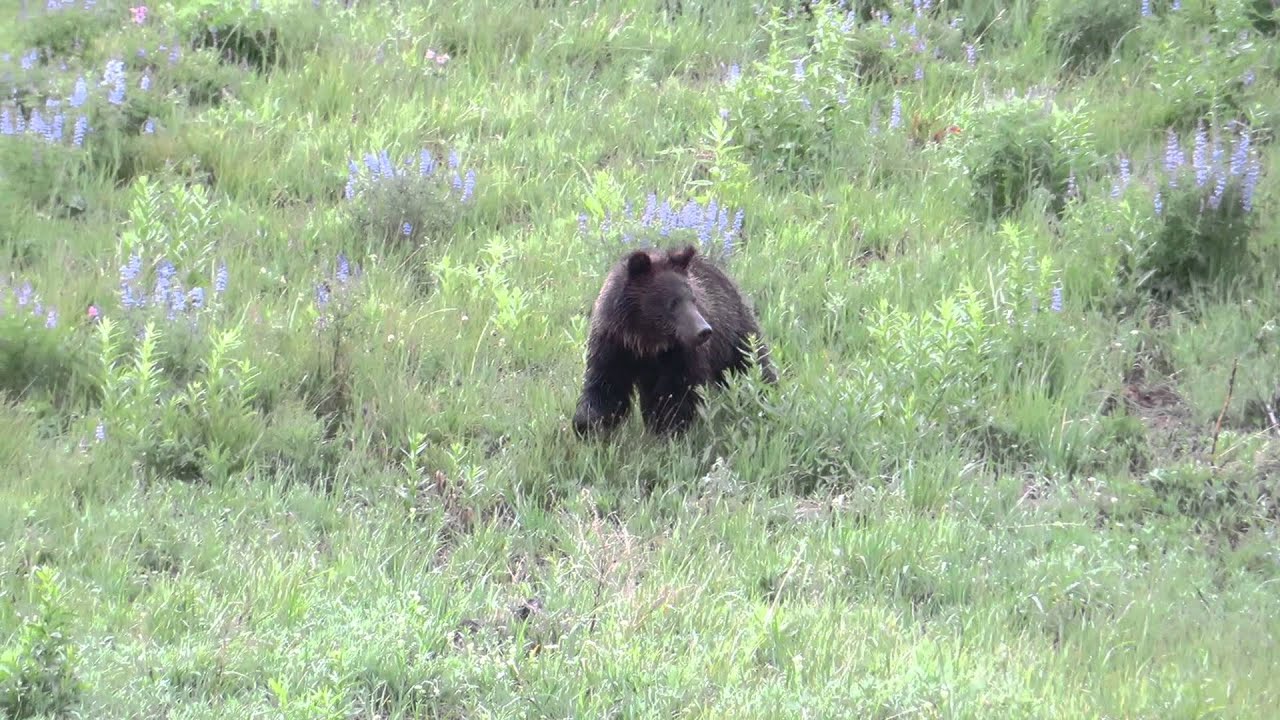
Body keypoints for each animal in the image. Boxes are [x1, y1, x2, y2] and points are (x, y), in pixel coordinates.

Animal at [571, 243, 777, 438]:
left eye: (693, 299)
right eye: (672, 303)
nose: (704, 331)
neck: (646, 342)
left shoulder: (681, 354)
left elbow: (677, 394)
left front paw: (670, 429)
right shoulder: (613, 344)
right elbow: (606, 386)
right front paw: (588, 426)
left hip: (734, 333)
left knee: (752, 364)